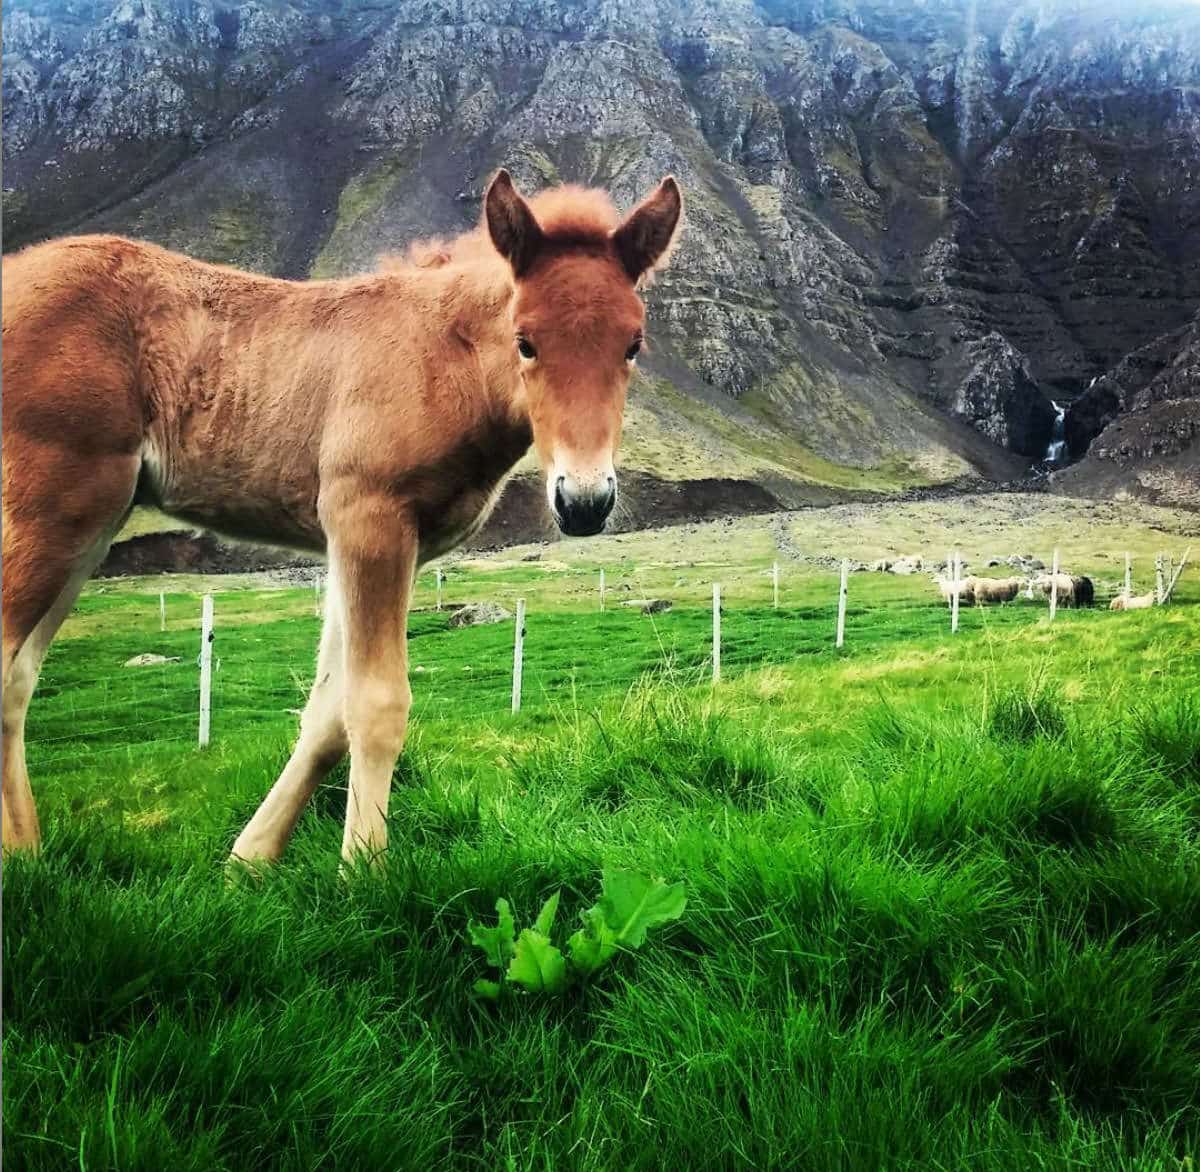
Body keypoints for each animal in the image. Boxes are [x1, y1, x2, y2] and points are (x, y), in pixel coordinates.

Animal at [1, 168, 683, 865]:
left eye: (633, 344)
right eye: (525, 341)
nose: (584, 502)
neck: (440, 359)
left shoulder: (374, 543)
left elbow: (327, 712)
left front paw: (250, 861)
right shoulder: (368, 520)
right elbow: (376, 703)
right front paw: (364, 868)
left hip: (92, 527)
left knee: (20, 677)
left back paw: (26, 857)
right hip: (54, 501)